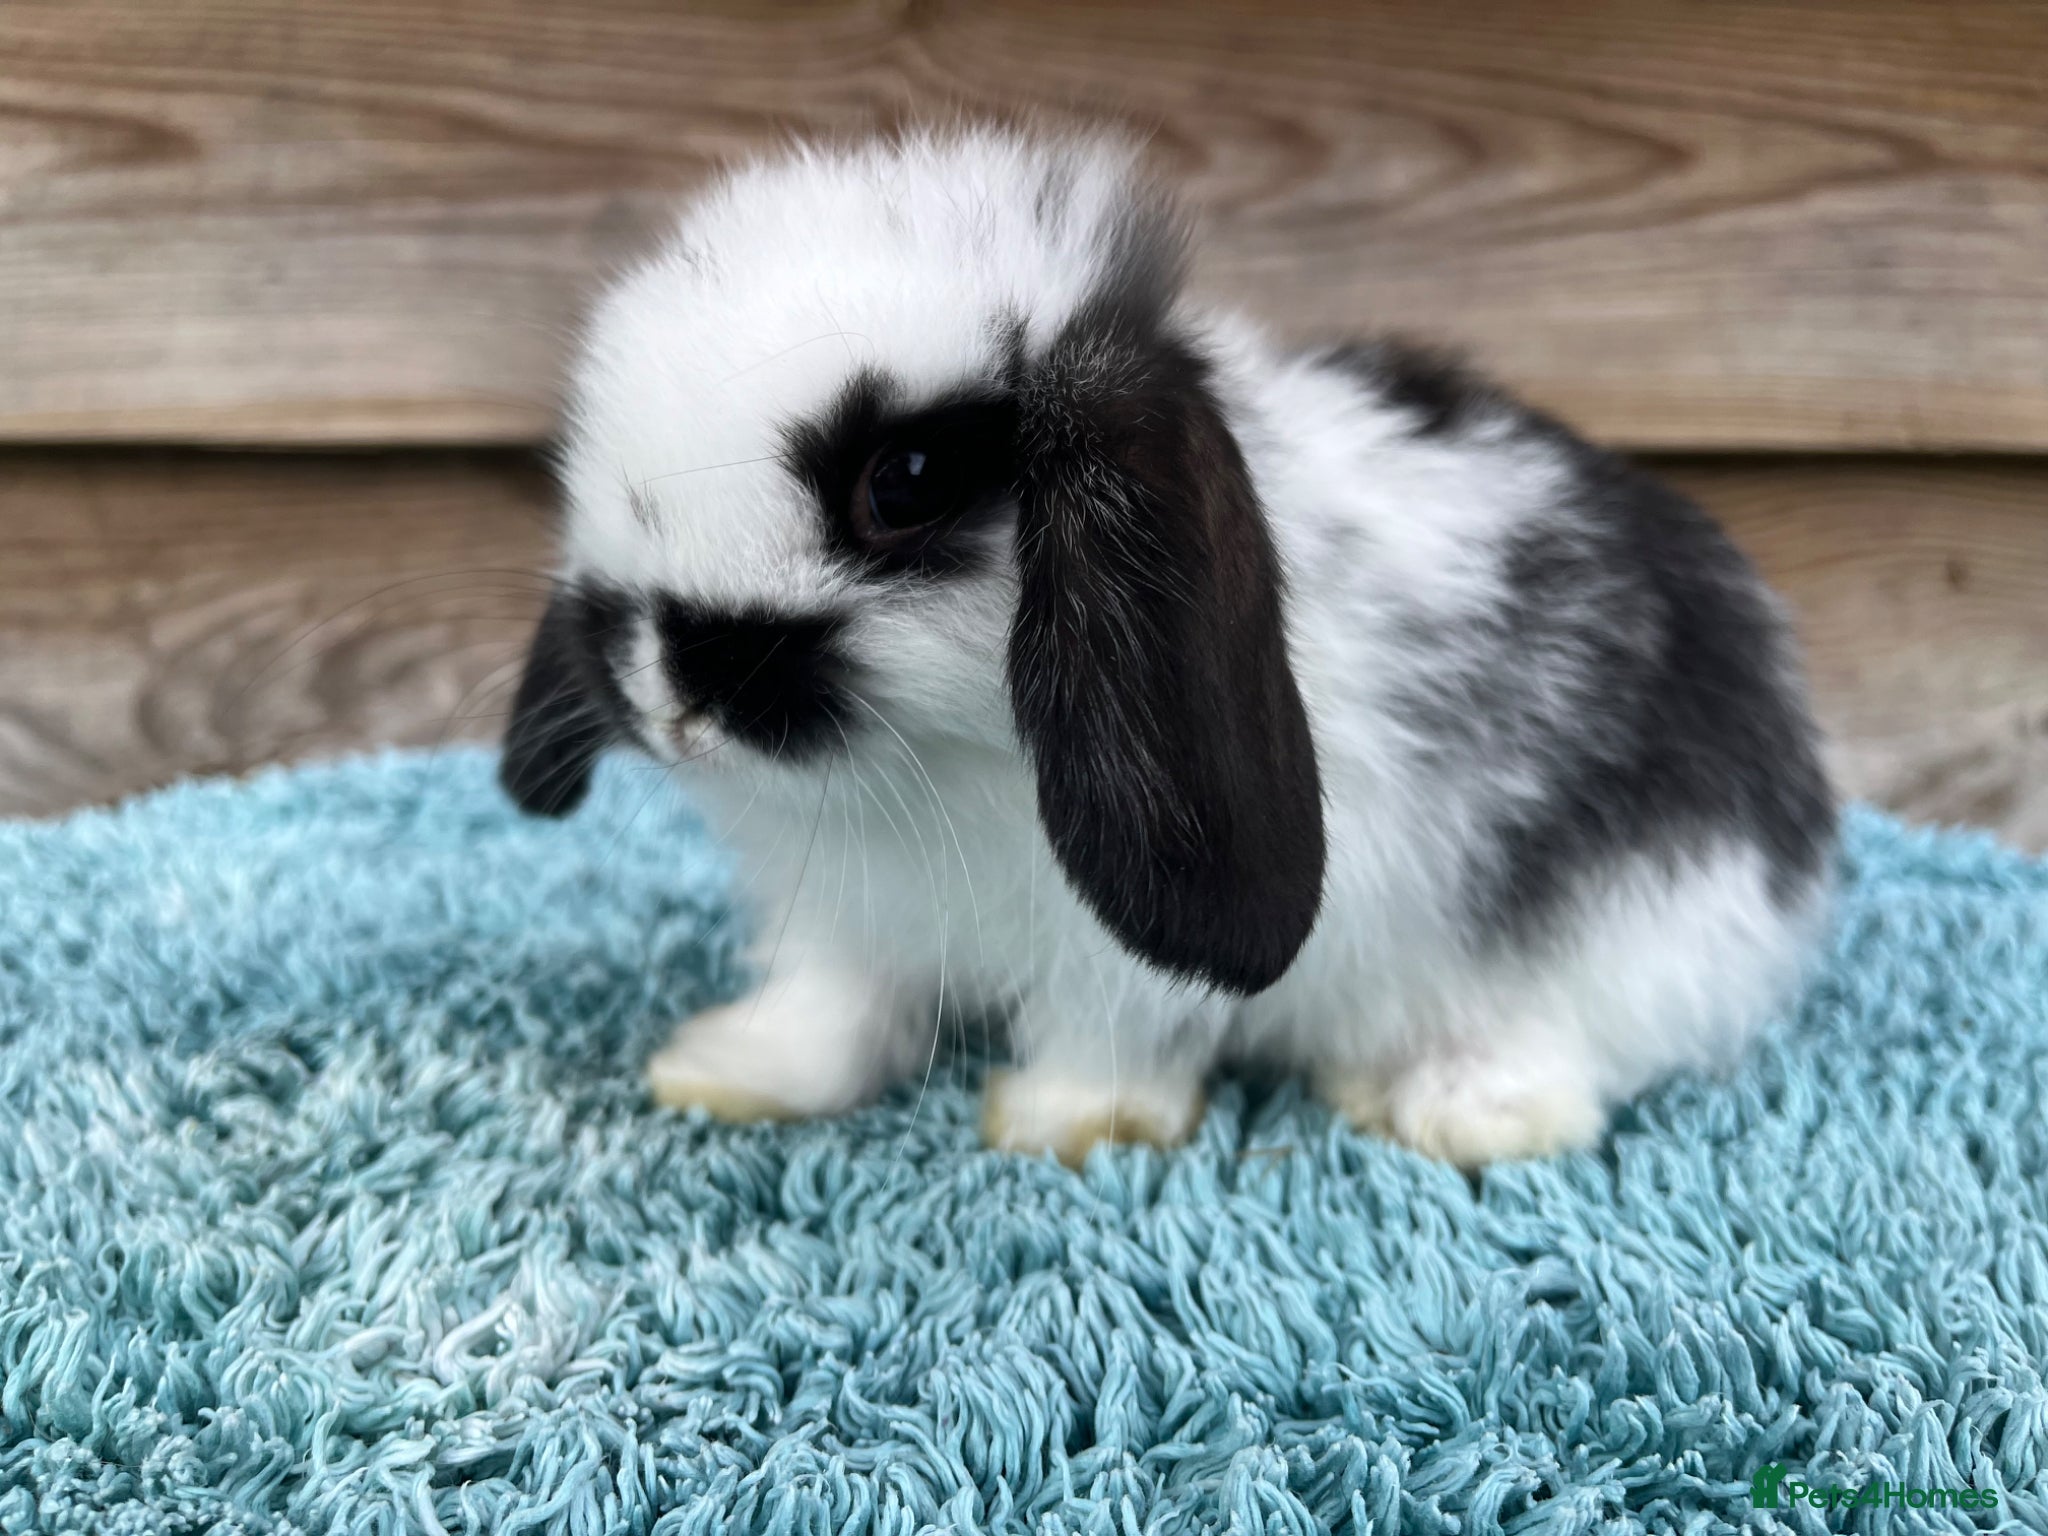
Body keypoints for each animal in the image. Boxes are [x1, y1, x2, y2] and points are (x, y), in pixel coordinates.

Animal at [500, 128, 1836, 1168]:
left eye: (906, 480)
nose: (669, 692)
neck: (936, 768)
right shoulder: (842, 912)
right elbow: (832, 1006)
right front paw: (729, 1072)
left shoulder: (1121, 959)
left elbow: (1114, 1028)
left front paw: (1064, 1125)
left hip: (1645, 917)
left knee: (1580, 1045)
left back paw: (1457, 1105)